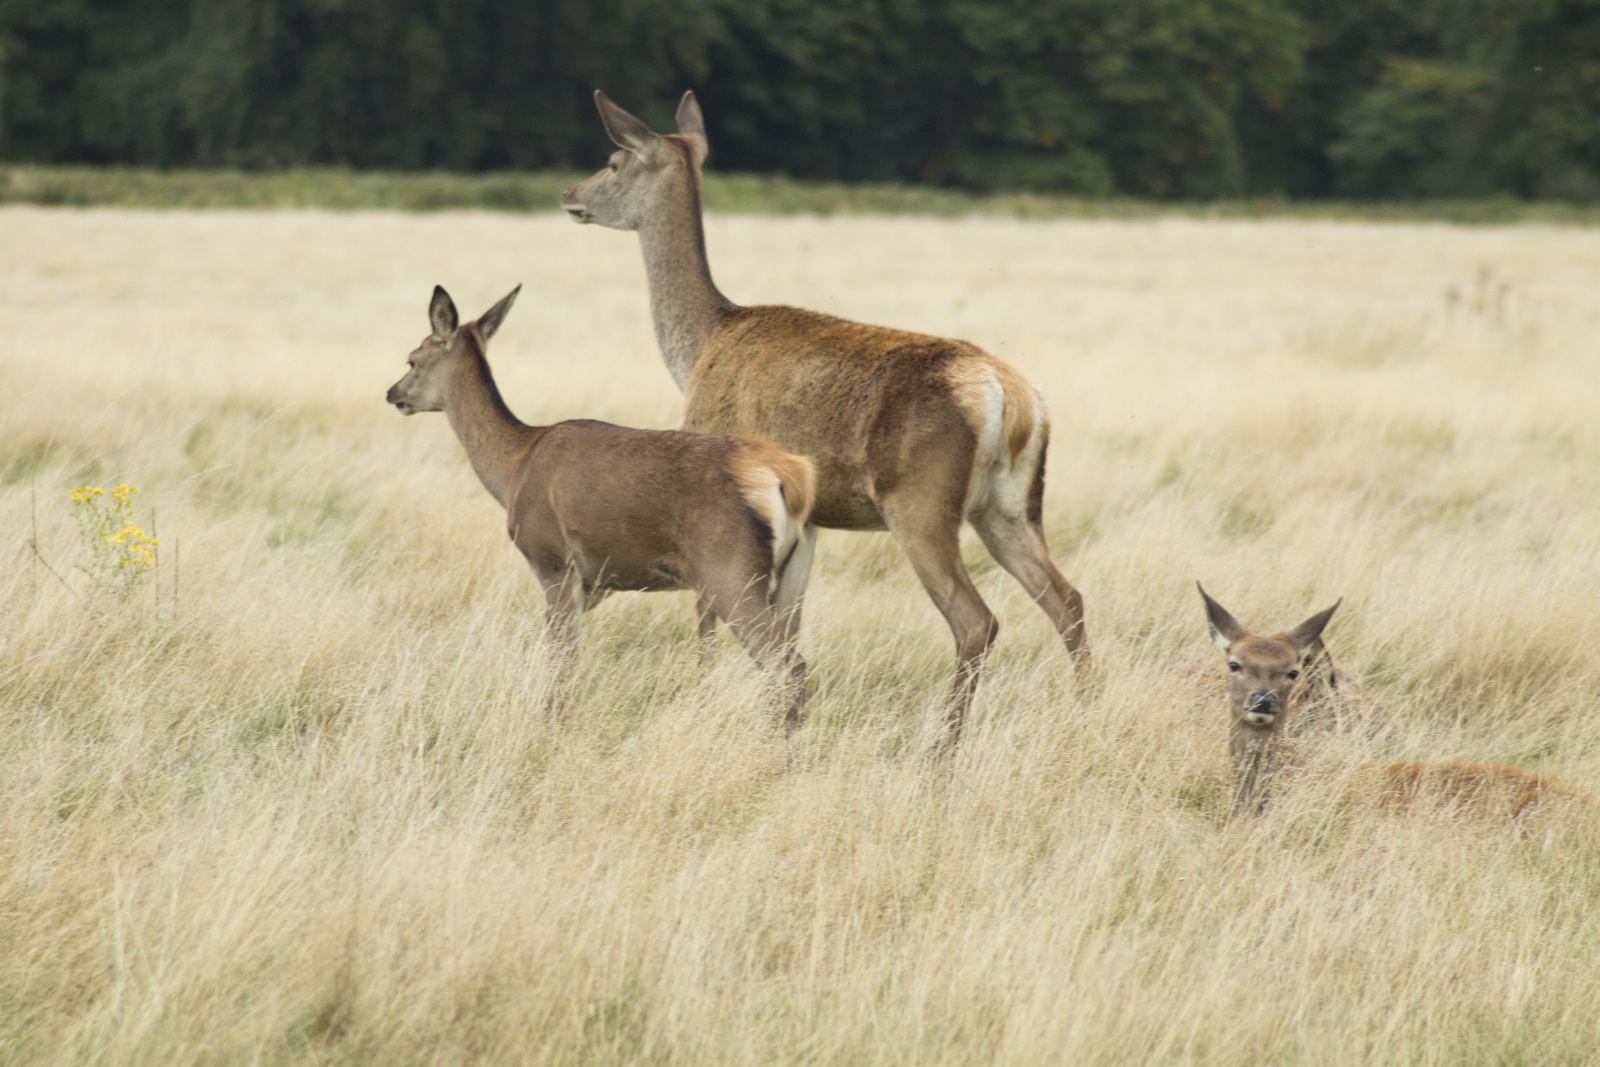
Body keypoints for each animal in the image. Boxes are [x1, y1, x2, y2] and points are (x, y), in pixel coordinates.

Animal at [384, 287, 812, 729]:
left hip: (729, 568)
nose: (392, 393)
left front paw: (552, 725)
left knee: (786, 665)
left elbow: (563, 658)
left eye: (412, 358)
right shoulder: (596, 581)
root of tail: (789, 478)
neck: (515, 465)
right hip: (794, 571)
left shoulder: (552, 559)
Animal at [560, 91, 1088, 748]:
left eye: (613, 160)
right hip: (1012, 504)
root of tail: (1011, 399)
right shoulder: (805, 520)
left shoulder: (711, 477)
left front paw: (703, 699)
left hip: (919, 500)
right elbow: (788, 627)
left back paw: (943, 749)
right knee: (1067, 600)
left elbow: (710, 616)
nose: (569, 195)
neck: (699, 349)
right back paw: (1088, 714)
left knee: (976, 620)